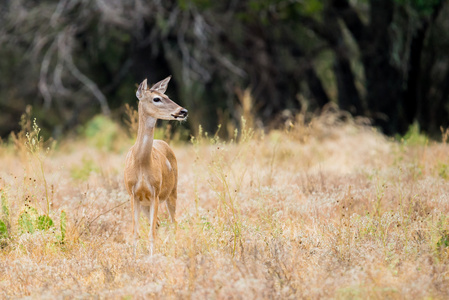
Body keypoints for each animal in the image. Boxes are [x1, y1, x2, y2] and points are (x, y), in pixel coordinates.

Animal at [123, 75, 186, 255]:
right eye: (156, 99)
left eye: (167, 95)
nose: (183, 111)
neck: (142, 164)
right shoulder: (133, 194)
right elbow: (135, 231)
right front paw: (134, 257)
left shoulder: (155, 193)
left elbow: (151, 232)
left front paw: (151, 258)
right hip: (146, 204)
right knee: (158, 223)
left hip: (173, 191)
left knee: (173, 222)